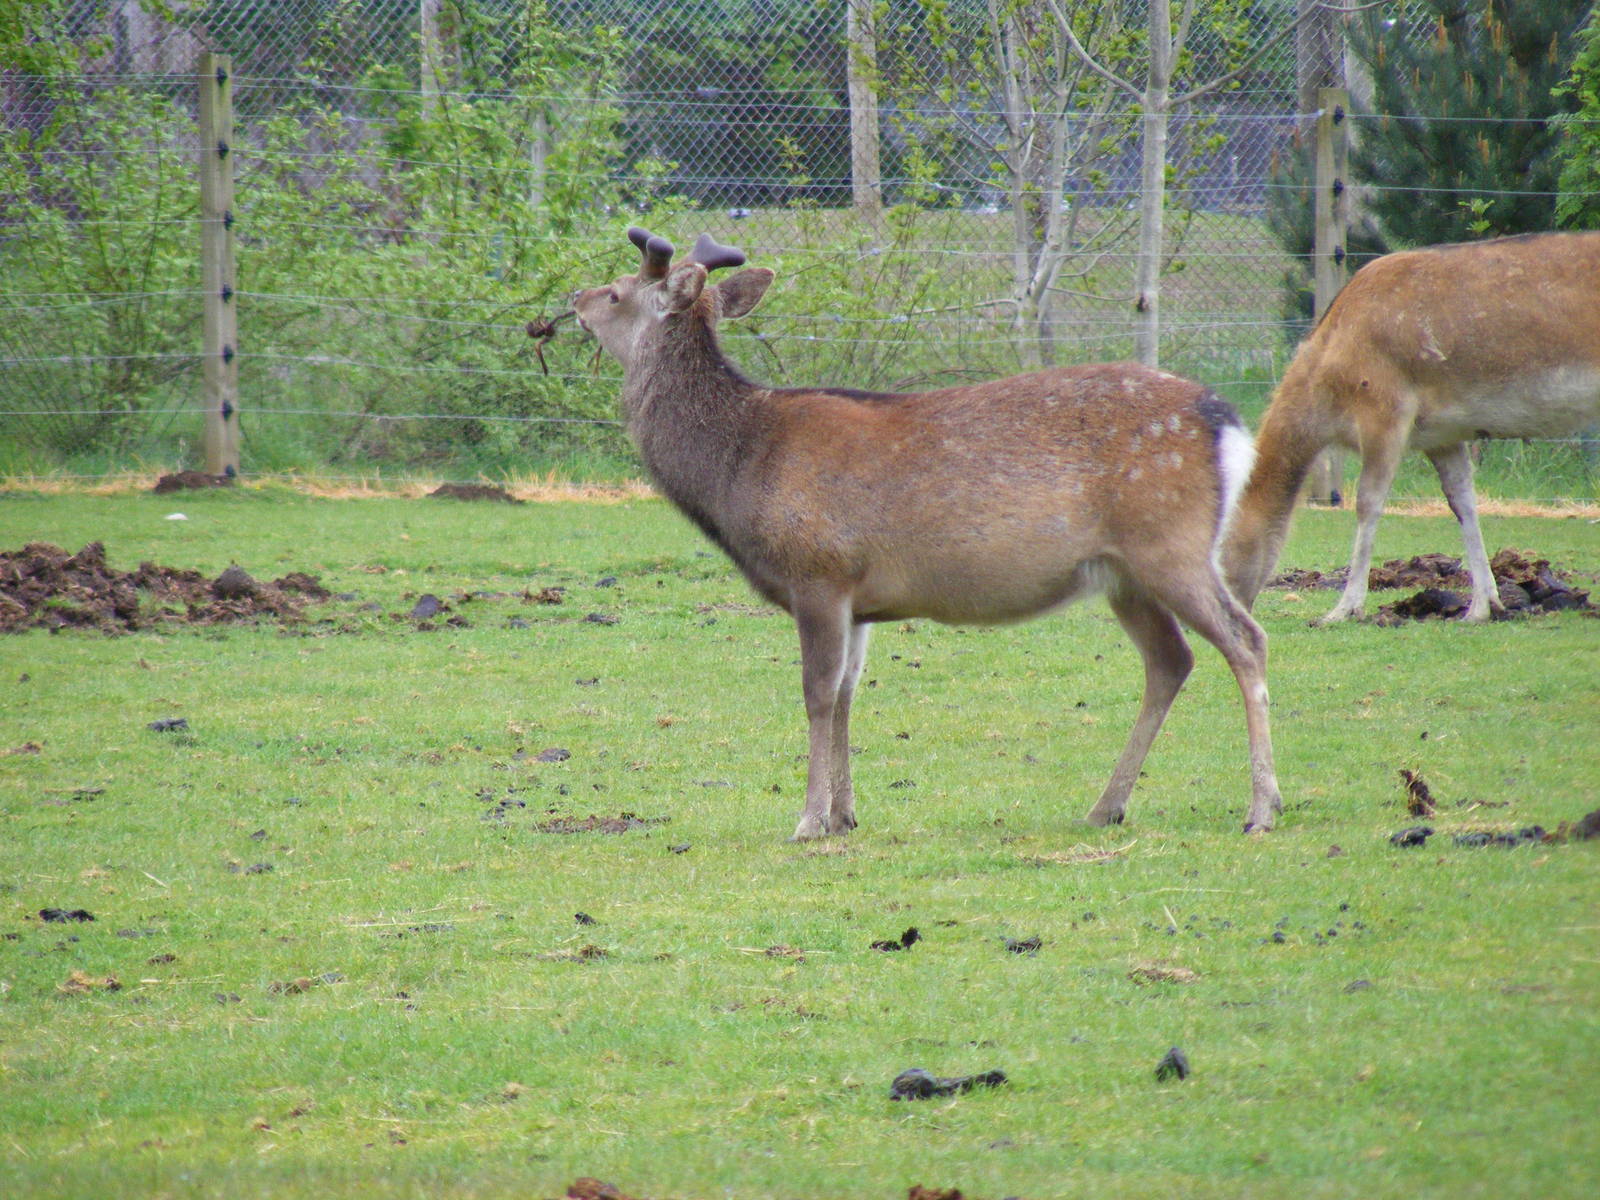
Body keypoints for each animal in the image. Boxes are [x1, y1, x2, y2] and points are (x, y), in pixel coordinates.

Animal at [558, 227, 1283, 840]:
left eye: (618, 291)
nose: (572, 299)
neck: (740, 469)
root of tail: (1228, 425)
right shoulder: (858, 598)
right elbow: (846, 695)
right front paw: (845, 816)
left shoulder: (817, 571)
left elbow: (817, 694)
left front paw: (807, 820)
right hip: (1122, 572)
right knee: (1172, 659)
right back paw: (1107, 806)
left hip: (1170, 543)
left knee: (1246, 639)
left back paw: (1260, 807)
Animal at [1223, 232, 1600, 624]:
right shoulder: (1443, 435)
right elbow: (1462, 501)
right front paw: (1481, 607)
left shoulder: (1385, 408)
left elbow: (1368, 502)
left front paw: (1343, 609)